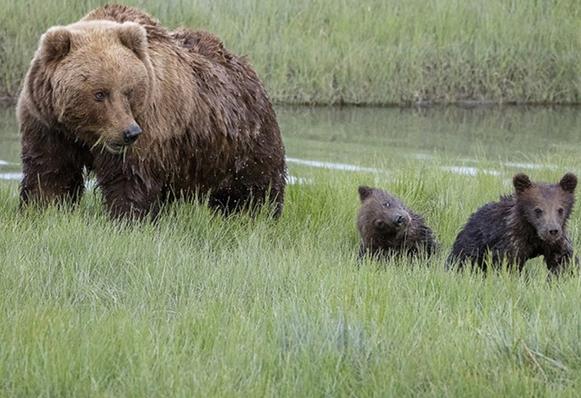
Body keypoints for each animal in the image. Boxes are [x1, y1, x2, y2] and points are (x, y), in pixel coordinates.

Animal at [19, 4, 286, 219]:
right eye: (100, 93)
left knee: (256, 186)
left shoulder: (150, 124)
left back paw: (259, 214)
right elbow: (50, 173)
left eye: (128, 90)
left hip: (244, 142)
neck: (84, 132)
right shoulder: (47, 124)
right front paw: (42, 209)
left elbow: (129, 179)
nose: (129, 132)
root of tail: (246, 66)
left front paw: (126, 219)